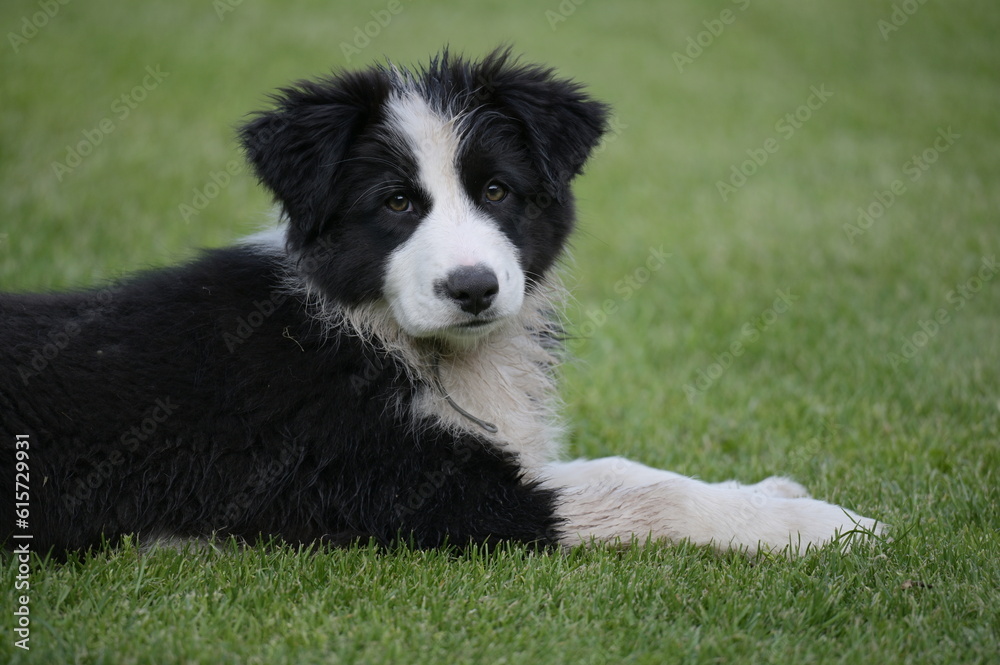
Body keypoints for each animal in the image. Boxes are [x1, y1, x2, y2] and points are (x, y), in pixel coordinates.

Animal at [0, 49, 880, 556]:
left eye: (496, 191)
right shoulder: (415, 488)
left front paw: (774, 494)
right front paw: (828, 527)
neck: (369, 331)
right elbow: (638, 490)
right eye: (396, 203)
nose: (473, 287)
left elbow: (617, 467)